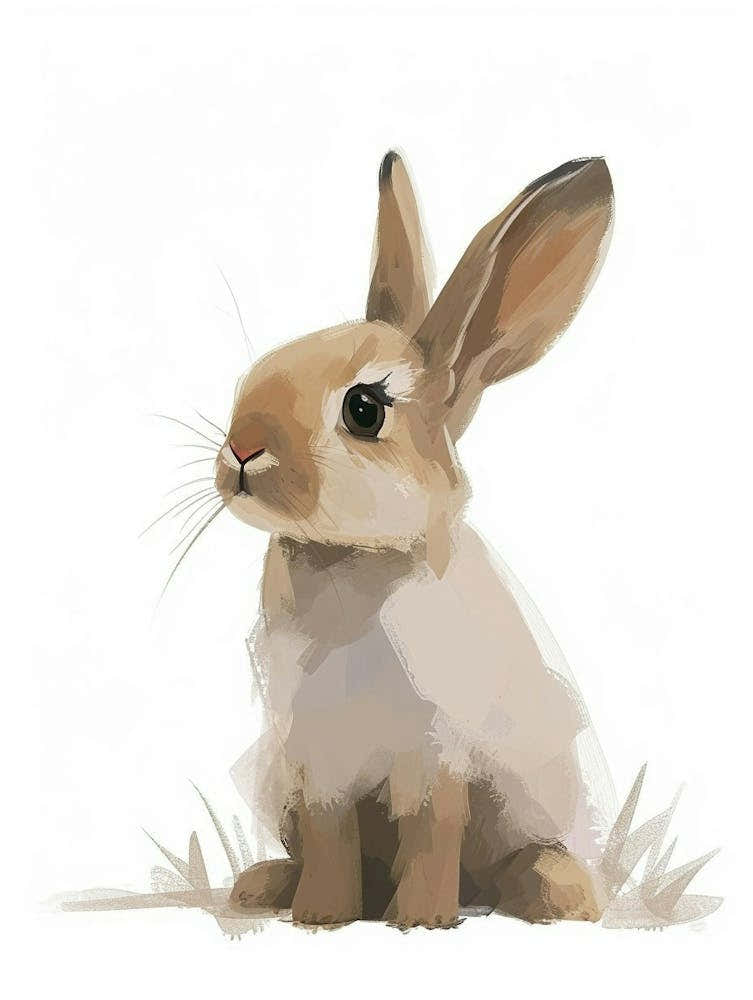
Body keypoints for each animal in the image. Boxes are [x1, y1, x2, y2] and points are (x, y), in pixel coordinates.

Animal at [217, 151, 617, 928]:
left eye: (364, 409)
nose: (242, 450)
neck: (351, 559)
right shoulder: (320, 761)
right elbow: (331, 840)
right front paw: (320, 919)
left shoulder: (437, 752)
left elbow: (433, 835)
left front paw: (422, 923)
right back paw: (262, 886)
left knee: (509, 864)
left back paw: (558, 896)